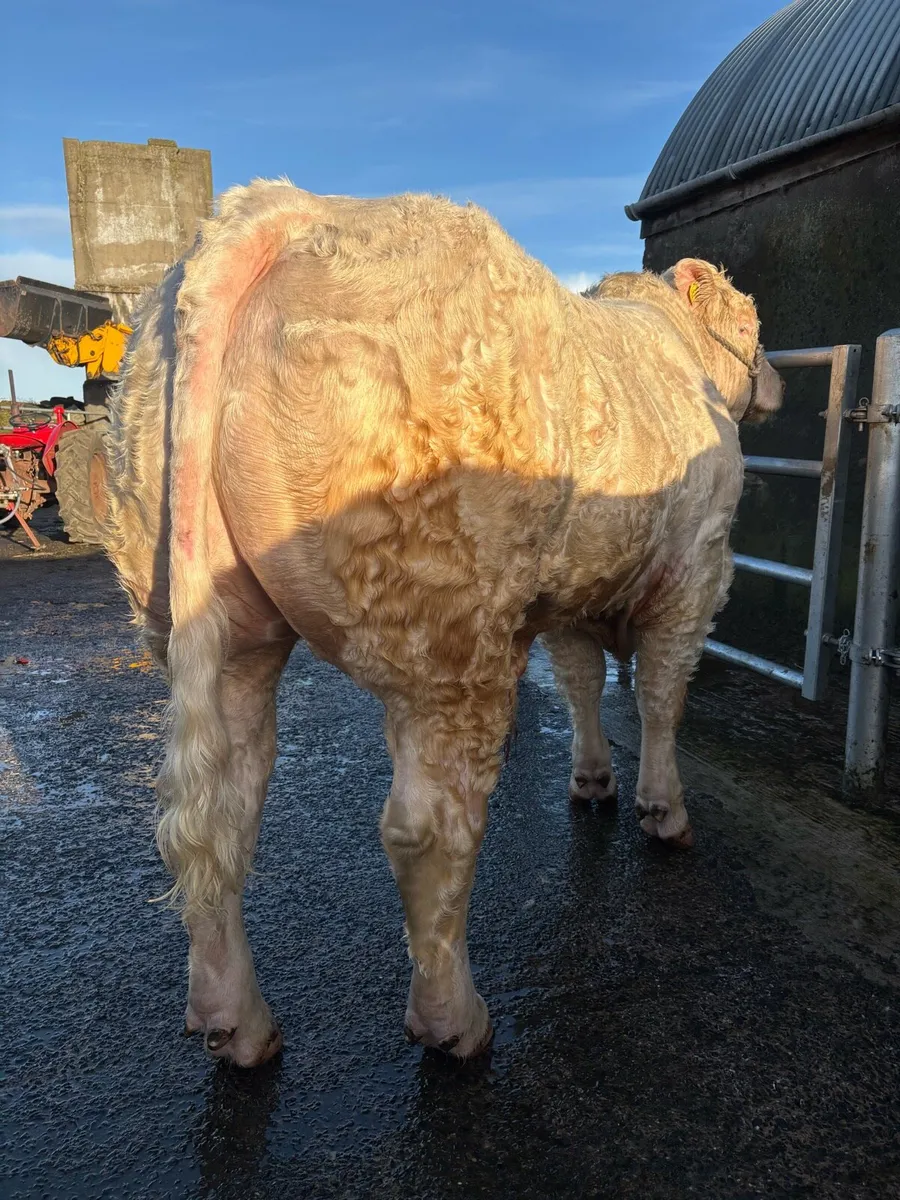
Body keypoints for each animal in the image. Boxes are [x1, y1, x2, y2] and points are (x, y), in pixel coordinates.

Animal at [103, 180, 783, 1067]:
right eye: (754, 327)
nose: (775, 381)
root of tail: (278, 209)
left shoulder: (575, 589)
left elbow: (581, 683)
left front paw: (592, 779)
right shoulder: (696, 570)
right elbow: (662, 700)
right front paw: (663, 811)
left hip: (216, 622)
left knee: (218, 813)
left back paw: (236, 1020)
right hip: (449, 633)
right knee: (427, 830)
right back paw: (453, 1020)